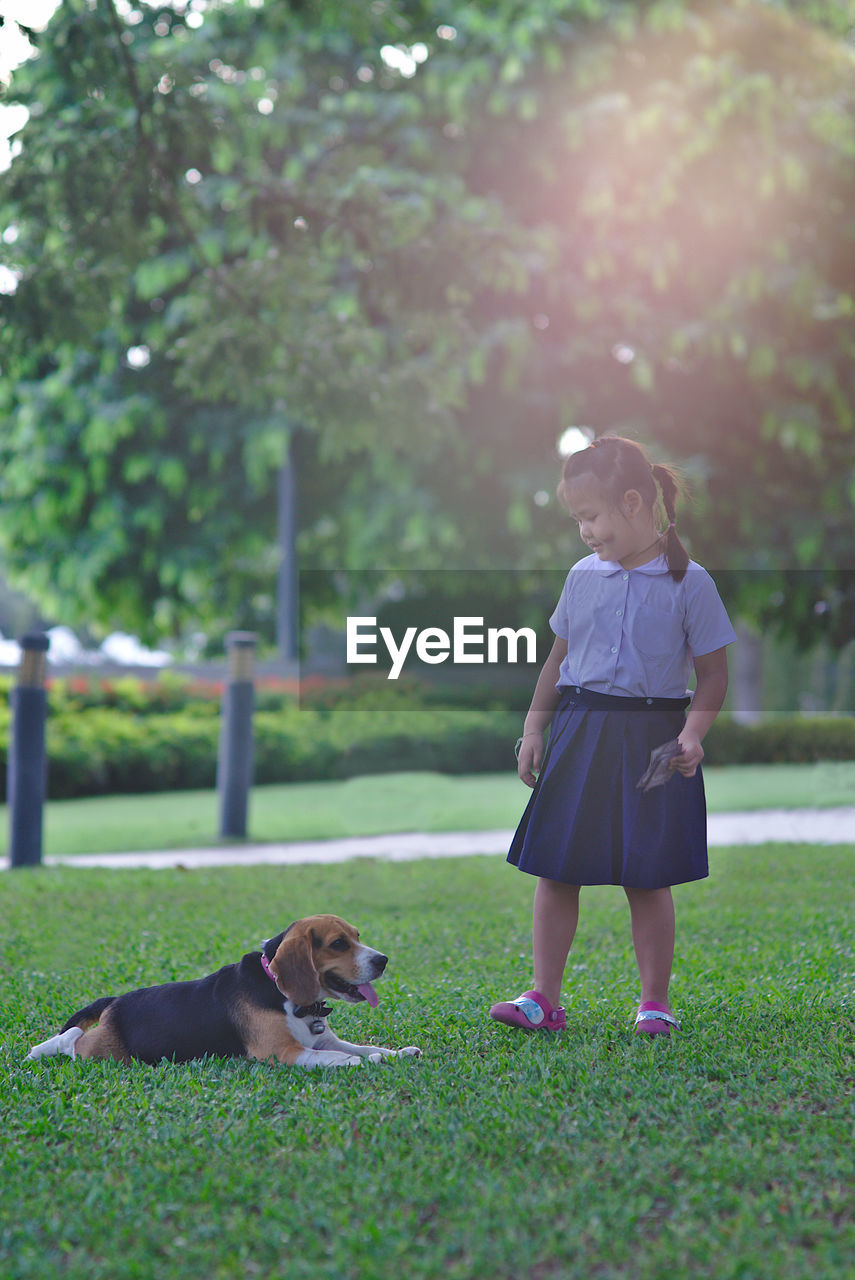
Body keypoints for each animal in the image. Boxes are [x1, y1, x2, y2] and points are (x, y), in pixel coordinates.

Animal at [28, 911, 422, 1070]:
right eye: (339, 943)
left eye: (357, 936)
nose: (383, 960)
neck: (283, 994)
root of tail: (116, 1000)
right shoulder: (282, 1052)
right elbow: (337, 1057)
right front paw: (358, 1062)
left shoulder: (323, 1039)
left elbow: (364, 1047)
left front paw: (396, 1053)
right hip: (105, 1052)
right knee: (73, 1041)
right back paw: (39, 1050)